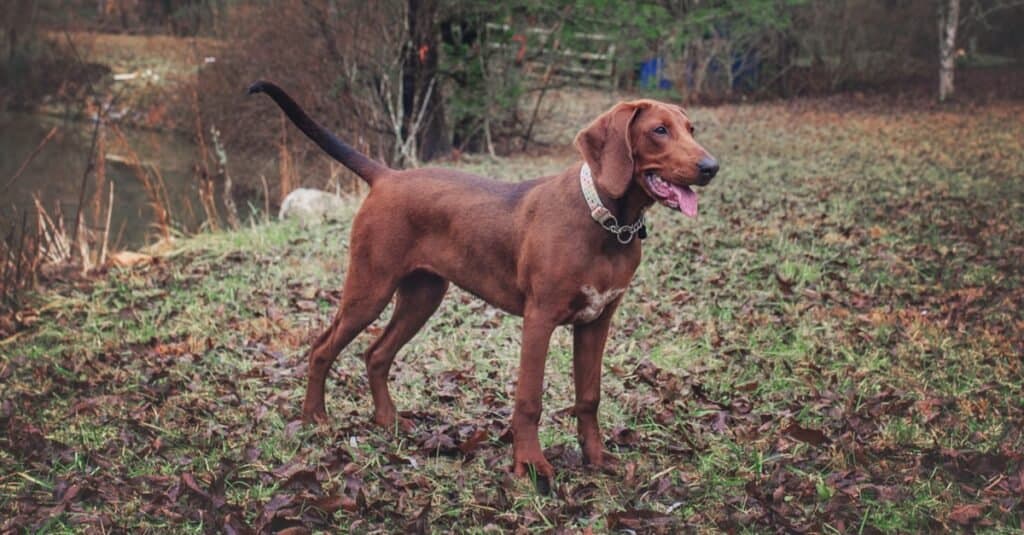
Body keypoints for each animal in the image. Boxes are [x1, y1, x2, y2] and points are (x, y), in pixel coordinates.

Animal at [247, 81, 716, 479]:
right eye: (659, 130)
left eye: (691, 129)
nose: (711, 167)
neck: (606, 223)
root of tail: (388, 175)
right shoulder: (540, 319)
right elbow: (529, 399)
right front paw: (530, 466)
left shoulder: (597, 321)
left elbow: (589, 396)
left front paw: (597, 458)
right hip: (369, 287)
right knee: (322, 349)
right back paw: (316, 419)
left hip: (422, 296)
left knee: (376, 354)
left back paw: (388, 421)